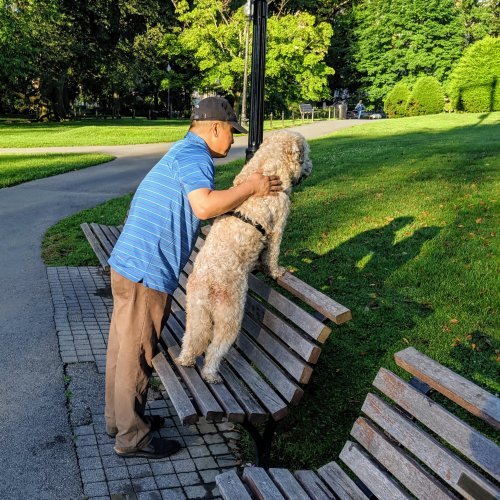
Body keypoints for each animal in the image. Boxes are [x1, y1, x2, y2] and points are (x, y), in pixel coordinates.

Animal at [174, 130, 310, 382]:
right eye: (307, 154)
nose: (310, 168)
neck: (269, 167)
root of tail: (209, 281)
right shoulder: (278, 226)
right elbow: (272, 254)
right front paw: (277, 271)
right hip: (231, 315)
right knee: (215, 347)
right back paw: (211, 374)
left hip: (196, 309)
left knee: (194, 337)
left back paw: (186, 359)